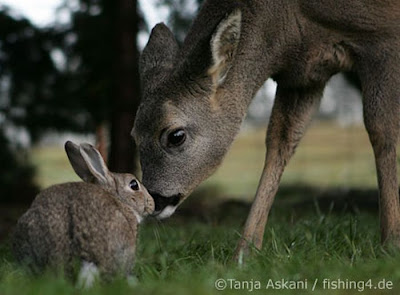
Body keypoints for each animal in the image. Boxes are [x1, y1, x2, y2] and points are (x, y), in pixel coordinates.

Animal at [133, 0, 400, 260]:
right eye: (134, 136)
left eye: (176, 135)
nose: (154, 200)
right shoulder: (302, 77)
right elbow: (280, 143)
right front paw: (245, 252)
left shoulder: (383, 37)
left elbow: (381, 129)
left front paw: (390, 243)